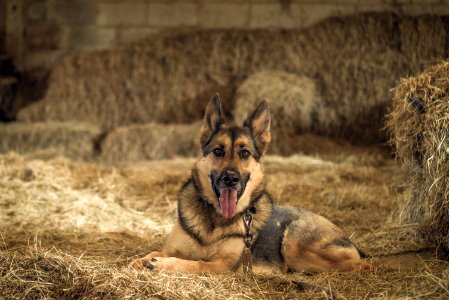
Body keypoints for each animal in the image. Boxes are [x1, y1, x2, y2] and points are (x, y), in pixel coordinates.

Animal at [130, 94, 368, 274]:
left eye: (244, 153)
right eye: (218, 151)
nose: (230, 178)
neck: (215, 220)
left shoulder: (221, 265)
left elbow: (195, 264)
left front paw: (165, 264)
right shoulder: (174, 248)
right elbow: (155, 252)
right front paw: (142, 260)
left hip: (294, 246)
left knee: (359, 265)